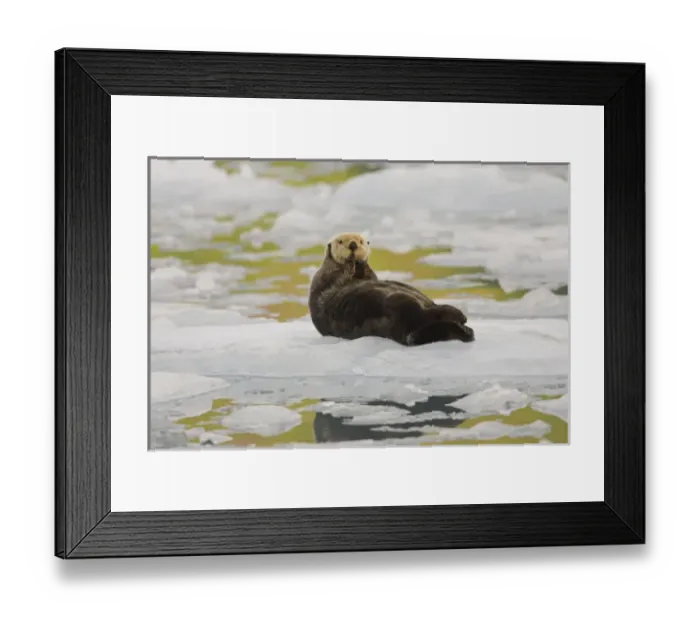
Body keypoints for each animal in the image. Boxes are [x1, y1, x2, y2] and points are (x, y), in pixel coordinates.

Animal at [308, 232, 475, 346]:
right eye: (340, 241)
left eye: (361, 241)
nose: (353, 245)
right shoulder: (327, 278)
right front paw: (351, 262)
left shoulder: (367, 275)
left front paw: (359, 262)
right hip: (397, 304)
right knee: (424, 316)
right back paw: (460, 319)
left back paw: (462, 322)